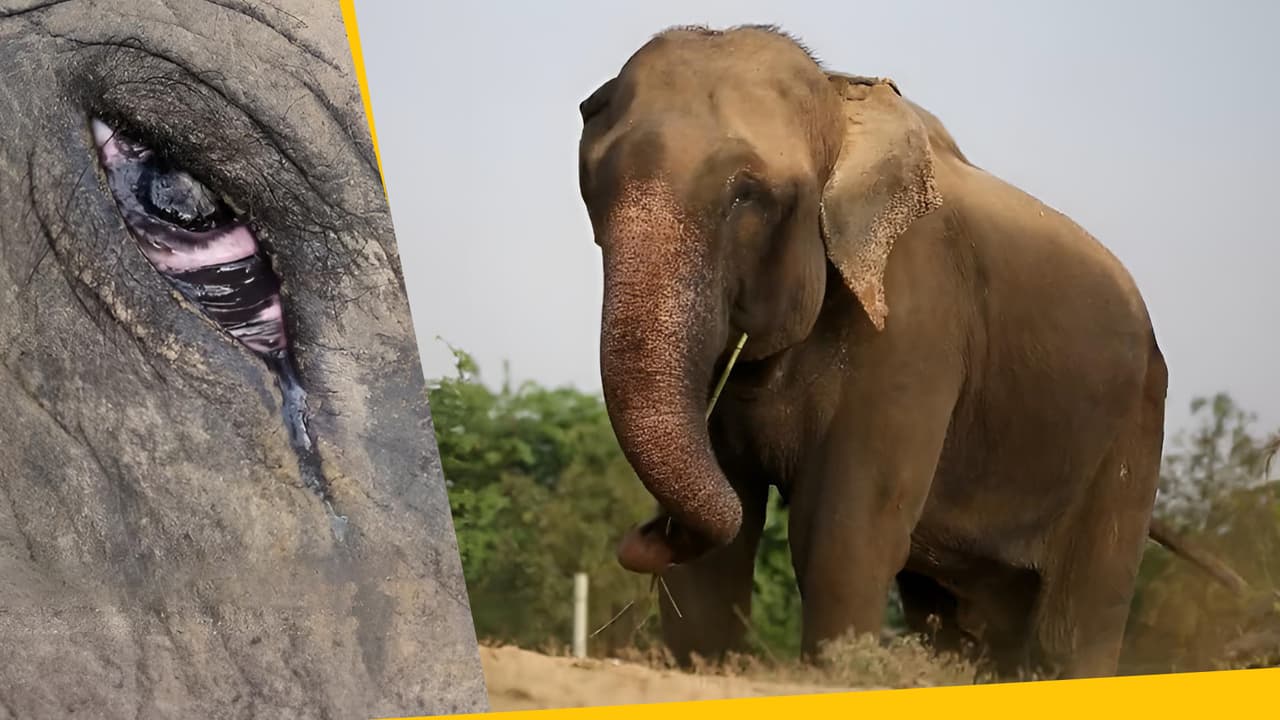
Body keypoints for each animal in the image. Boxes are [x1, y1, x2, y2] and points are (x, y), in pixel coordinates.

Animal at [577, 25, 1246, 680]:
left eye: (750, 195)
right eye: (592, 188)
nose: (644, 533)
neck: (839, 100)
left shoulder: (916, 323)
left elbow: (844, 532)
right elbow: (726, 539)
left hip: (1131, 429)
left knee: (1075, 628)